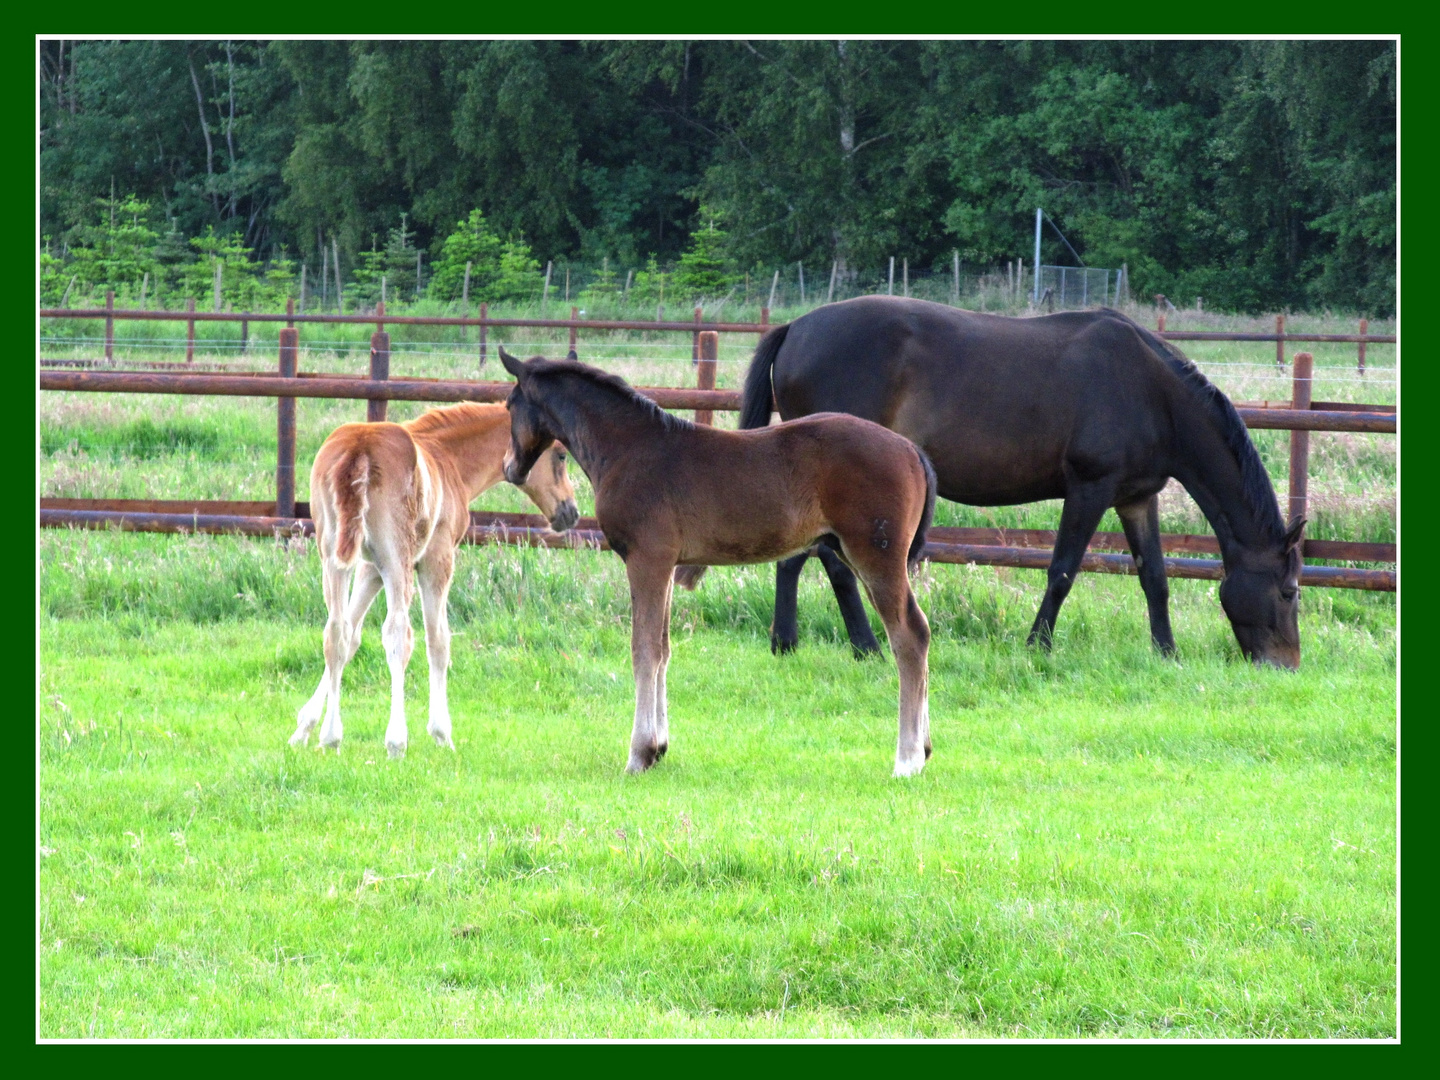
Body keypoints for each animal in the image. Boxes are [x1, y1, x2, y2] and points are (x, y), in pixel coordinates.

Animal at [286, 406, 578, 760]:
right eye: (561, 455)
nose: (571, 511)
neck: (449, 458)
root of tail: (360, 448)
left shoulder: (370, 566)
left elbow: (351, 636)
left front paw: (305, 728)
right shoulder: (436, 557)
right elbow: (438, 640)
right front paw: (442, 734)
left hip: (333, 556)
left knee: (335, 630)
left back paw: (332, 737)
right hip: (397, 557)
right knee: (398, 633)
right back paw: (396, 741)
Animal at [501, 351, 938, 783]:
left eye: (509, 405)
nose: (509, 467)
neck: (629, 448)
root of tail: (911, 451)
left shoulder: (646, 559)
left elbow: (644, 650)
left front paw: (640, 754)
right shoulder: (667, 564)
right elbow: (663, 648)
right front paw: (660, 748)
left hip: (876, 557)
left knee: (909, 636)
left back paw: (907, 760)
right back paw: (925, 749)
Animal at [743, 296, 1307, 668]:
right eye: (1289, 591)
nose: (1285, 665)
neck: (1152, 392)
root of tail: (796, 328)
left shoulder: (1136, 498)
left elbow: (1156, 577)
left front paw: (1166, 654)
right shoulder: (1089, 488)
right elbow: (1062, 571)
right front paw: (1038, 646)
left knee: (801, 557)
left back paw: (790, 643)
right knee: (831, 564)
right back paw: (863, 647)